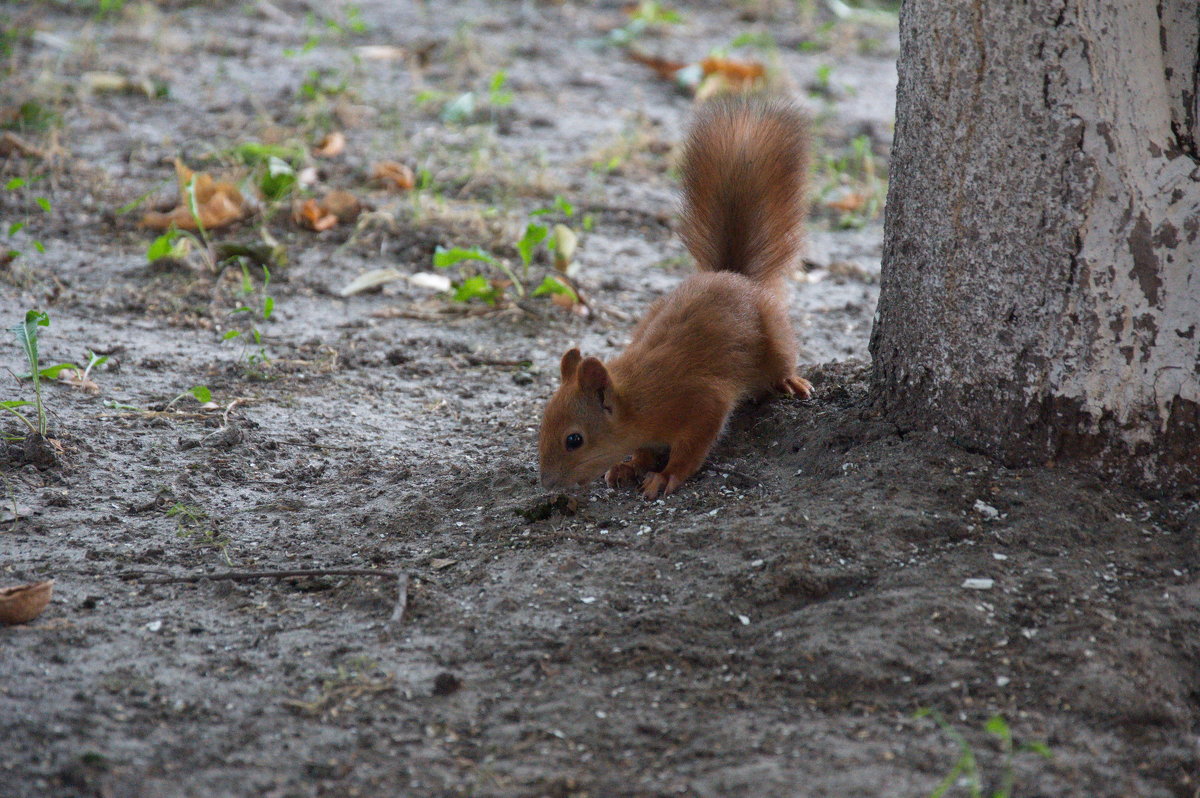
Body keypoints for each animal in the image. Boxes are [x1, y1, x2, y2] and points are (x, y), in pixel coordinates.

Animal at [537, 96, 811, 499]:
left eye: (575, 440)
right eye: (542, 422)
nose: (547, 483)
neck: (637, 401)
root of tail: (732, 276)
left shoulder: (701, 401)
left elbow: (693, 446)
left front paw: (666, 474)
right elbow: (643, 451)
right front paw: (629, 465)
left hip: (775, 336)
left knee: (782, 361)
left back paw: (790, 381)